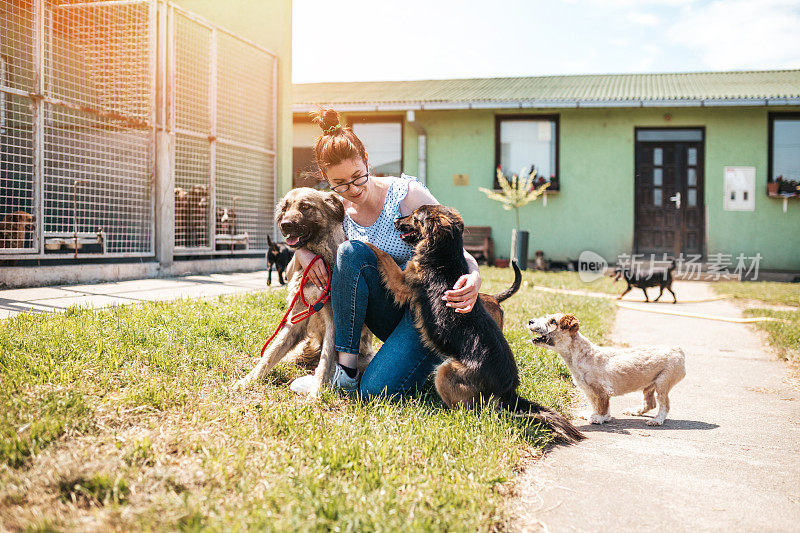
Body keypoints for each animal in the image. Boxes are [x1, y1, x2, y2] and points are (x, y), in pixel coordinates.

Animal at [366, 204, 584, 440]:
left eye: (414, 217)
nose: (395, 220)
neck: (445, 254)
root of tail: (508, 391)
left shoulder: (402, 281)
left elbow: (383, 255)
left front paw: (363, 243)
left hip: (445, 372)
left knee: (469, 411)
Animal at [528, 312, 684, 424]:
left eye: (553, 321)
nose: (530, 321)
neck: (581, 355)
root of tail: (678, 350)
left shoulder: (601, 390)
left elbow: (602, 405)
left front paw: (599, 418)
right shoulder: (589, 391)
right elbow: (596, 405)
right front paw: (595, 415)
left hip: (662, 384)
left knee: (664, 405)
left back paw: (657, 420)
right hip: (649, 386)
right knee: (650, 404)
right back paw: (634, 411)